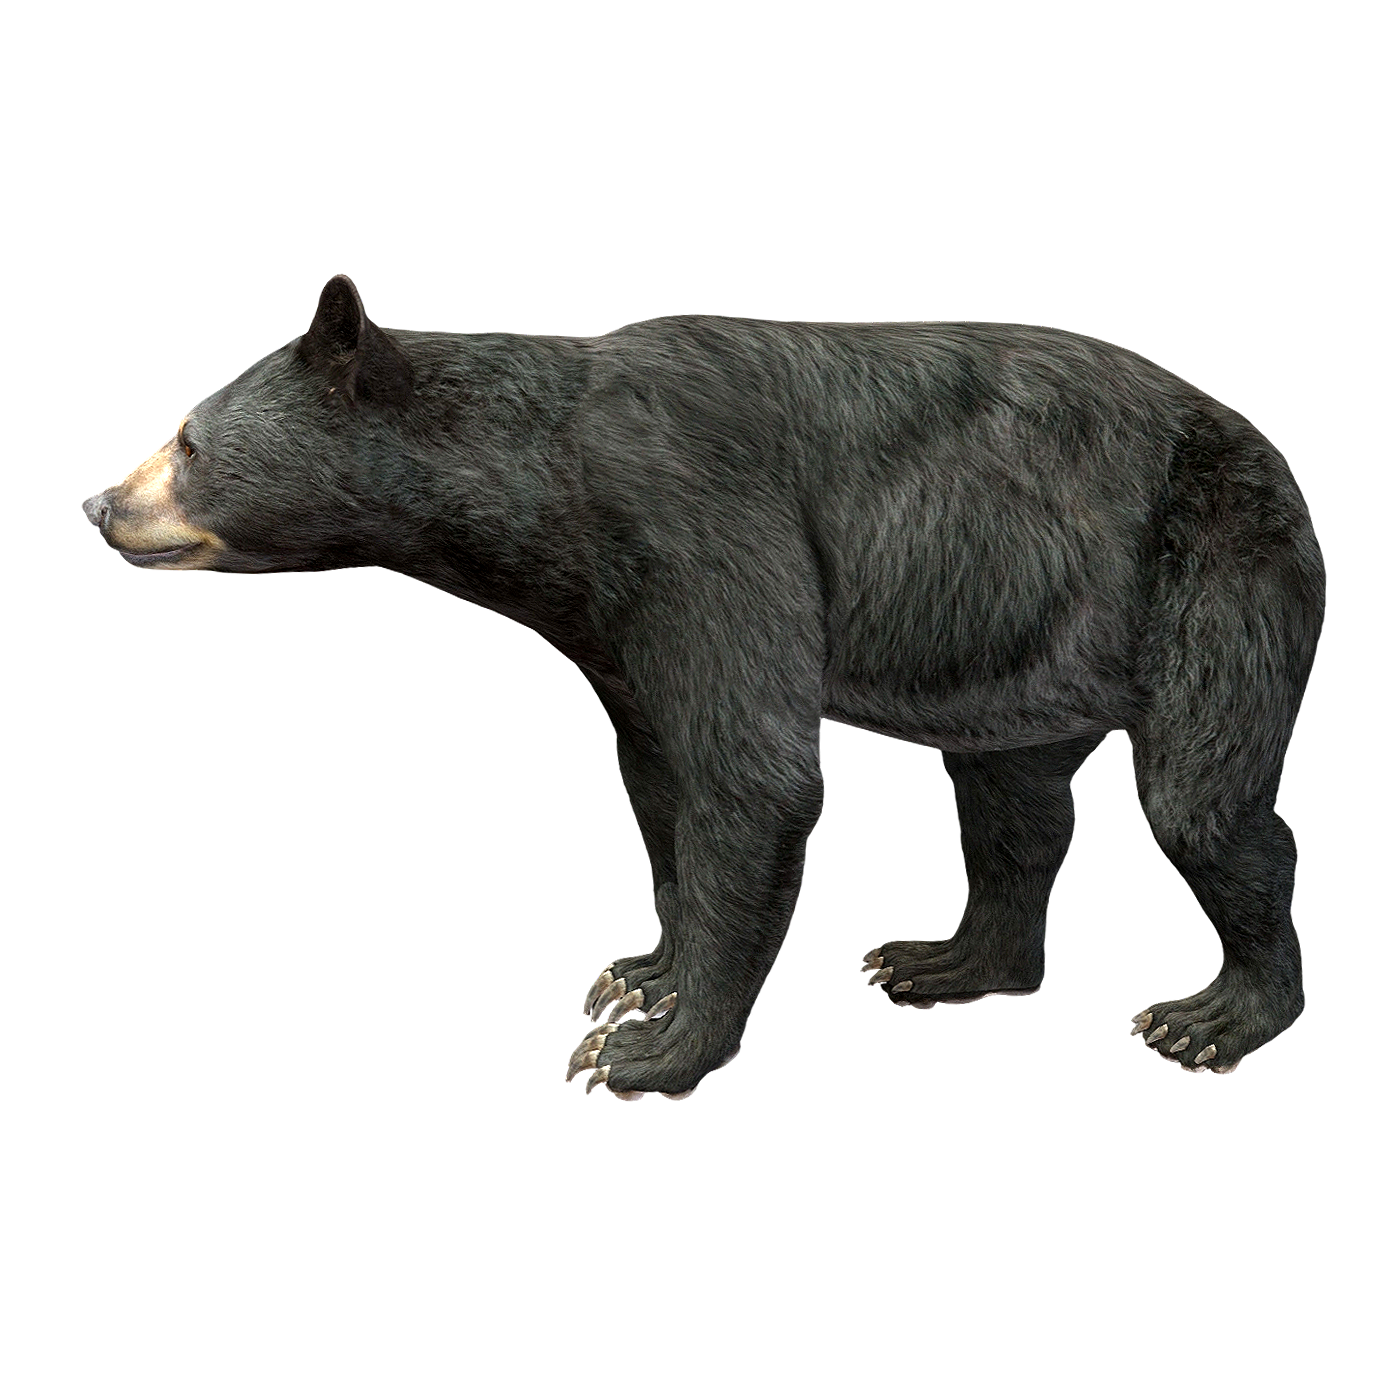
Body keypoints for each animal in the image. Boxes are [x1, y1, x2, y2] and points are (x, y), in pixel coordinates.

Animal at [84, 275, 1325, 1100]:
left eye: (190, 443)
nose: (105, 504)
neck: (548, 496)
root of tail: (1257, 450)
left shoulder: (698, 520)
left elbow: (750, 770)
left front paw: (651, 1050)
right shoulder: (614, 622)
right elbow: (662, 785)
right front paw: (648, 966)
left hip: (1210, 567)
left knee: (1200, 798)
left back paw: (1225, 1013)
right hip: (1019, 648)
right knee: (1011, 798)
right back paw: (950, 957)